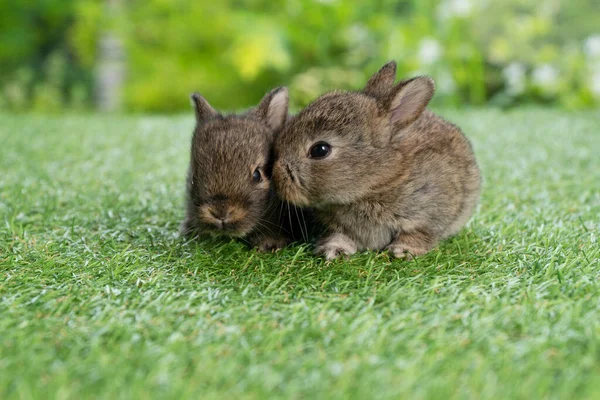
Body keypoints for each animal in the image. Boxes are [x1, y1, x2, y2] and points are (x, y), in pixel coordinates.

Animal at [272, 60, 482, 258]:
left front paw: (404, 250)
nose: (276, 177)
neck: (380, 181)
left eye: (320, 150)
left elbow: (418, 233)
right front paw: (333, 250)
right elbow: (340, 235)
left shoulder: (430, 214)